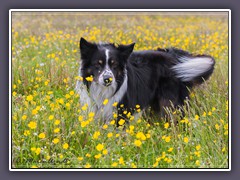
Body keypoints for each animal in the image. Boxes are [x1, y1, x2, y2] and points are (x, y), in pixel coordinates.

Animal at [76, 37, 215, 125]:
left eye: (114, 65)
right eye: (97, 64)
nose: (108, 79)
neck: (103, 91)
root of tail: (173, 56)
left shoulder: (121, 112)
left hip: (170, 102)